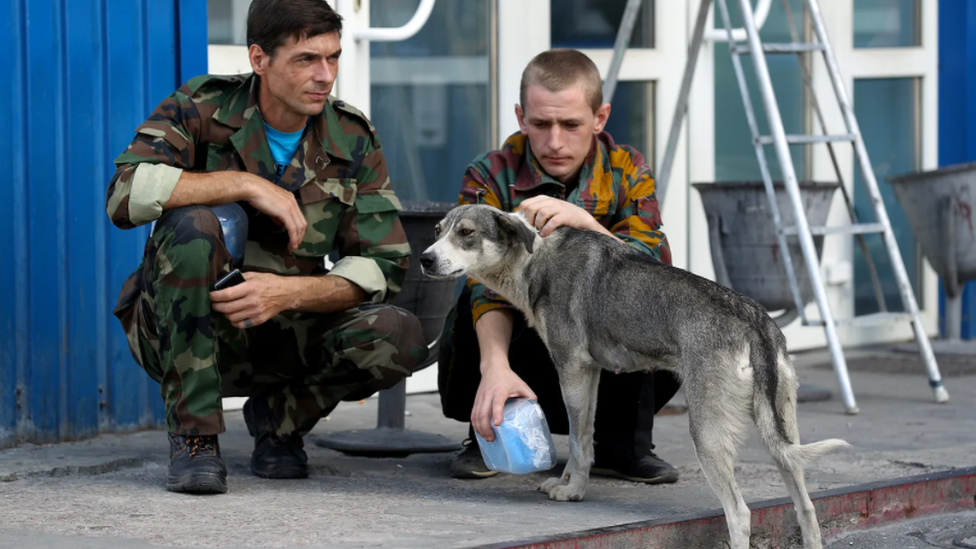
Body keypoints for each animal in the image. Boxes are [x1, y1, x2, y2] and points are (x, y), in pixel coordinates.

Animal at [420, 203, 848, 548]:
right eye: (438, 230)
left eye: (467, 233)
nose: (424, 259)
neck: (533, 256)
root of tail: (756, 322)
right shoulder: (590, 373)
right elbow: (582, 436)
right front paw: (566, 483)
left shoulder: (571, 368)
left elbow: (578, 441)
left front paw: (573, 491)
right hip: (782, 433)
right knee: (806, 508)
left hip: (708, 434)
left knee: (740, 513)